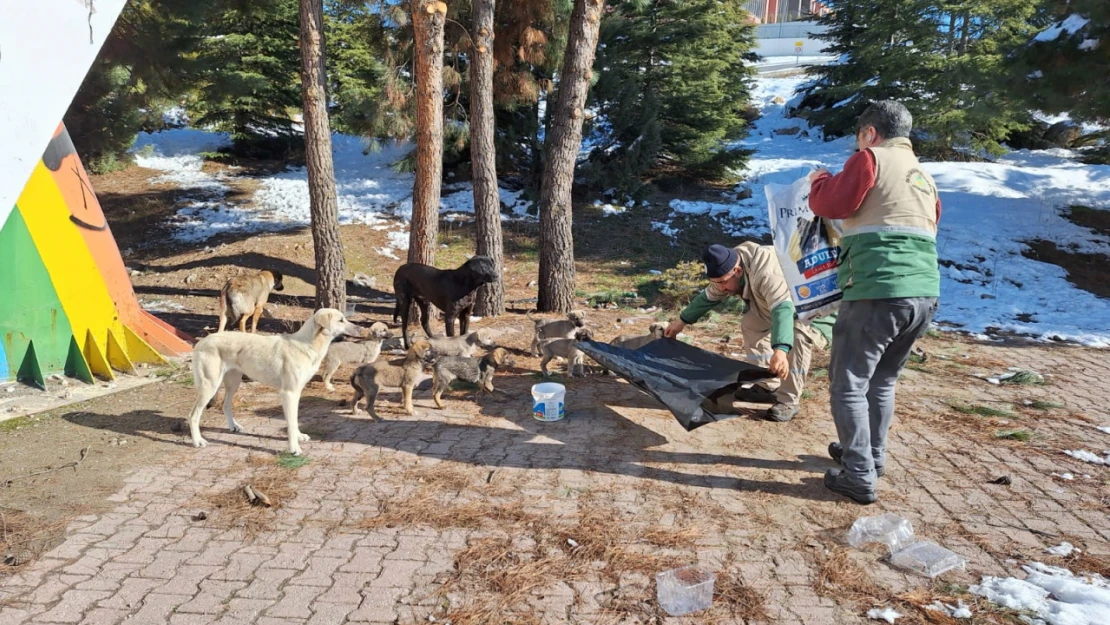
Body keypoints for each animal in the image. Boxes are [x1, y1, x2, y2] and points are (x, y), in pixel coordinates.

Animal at [186, 308, 359, 455]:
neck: (307, 344)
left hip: (233, 382)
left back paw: (233, 426)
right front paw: (294, 448)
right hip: (210, 386)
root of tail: (202, 341)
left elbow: (294, 420)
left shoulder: (296, 393)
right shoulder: (289, 393)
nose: (360, 328)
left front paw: (299, 436)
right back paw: (198, 441)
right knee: (193, 415)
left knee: (225, 404)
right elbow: (291, 423)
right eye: (341, 320)